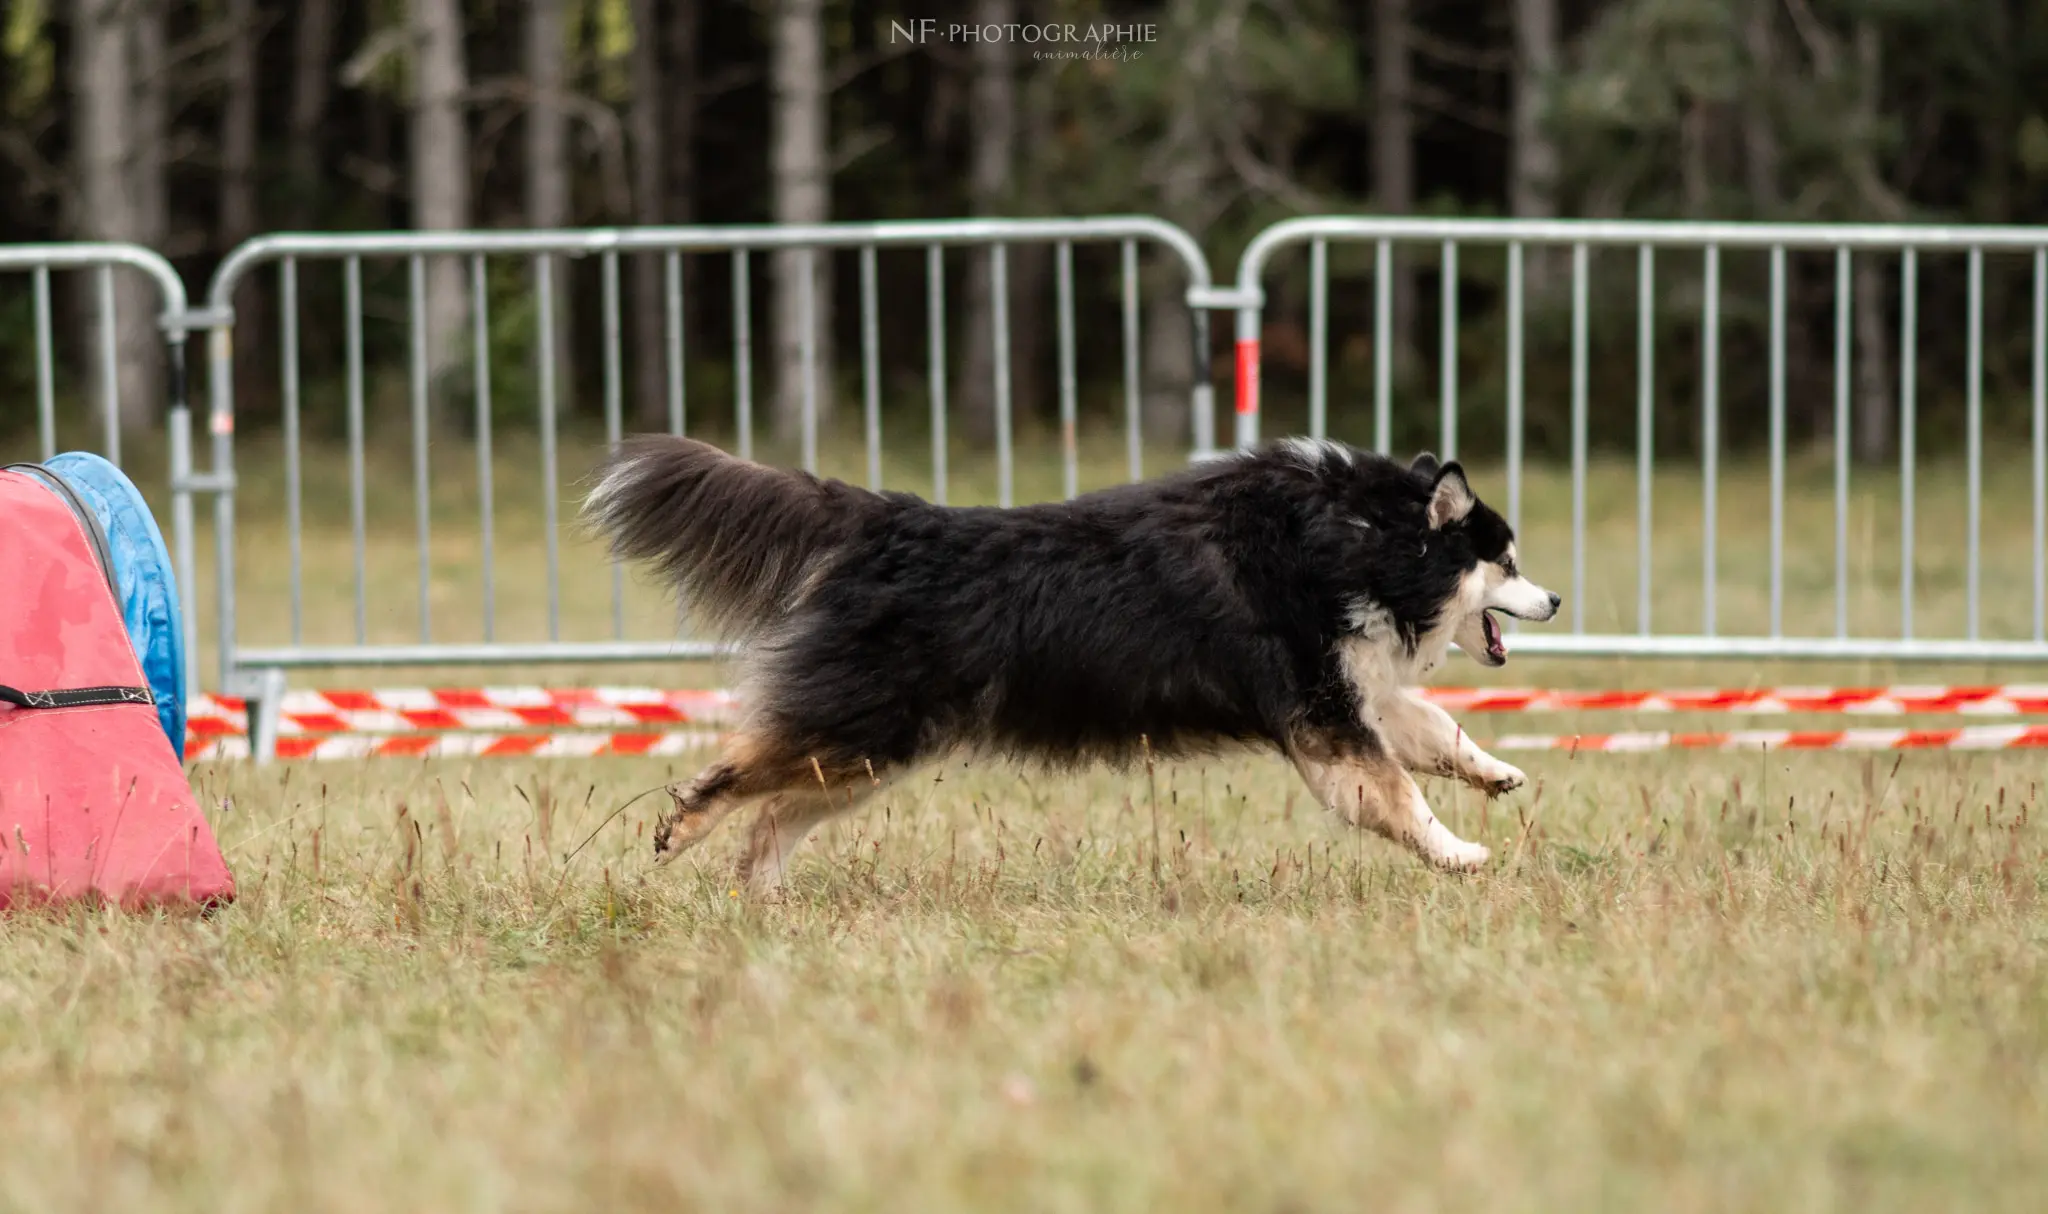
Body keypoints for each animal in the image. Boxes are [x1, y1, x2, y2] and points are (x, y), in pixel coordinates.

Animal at [585, 436, 1556, 888]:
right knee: (740, 774)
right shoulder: (1320, 709)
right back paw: (683, 830)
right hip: (865, 722)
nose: (1552, 601)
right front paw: (1459, 853)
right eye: (1507, 563)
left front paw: (1495, 772)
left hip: (872, 752)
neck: (1361, 541)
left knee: (776, 816)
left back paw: (763, 897)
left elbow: (1428, 727)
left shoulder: (1344, 685)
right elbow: (1394, 790)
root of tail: (894, 520)